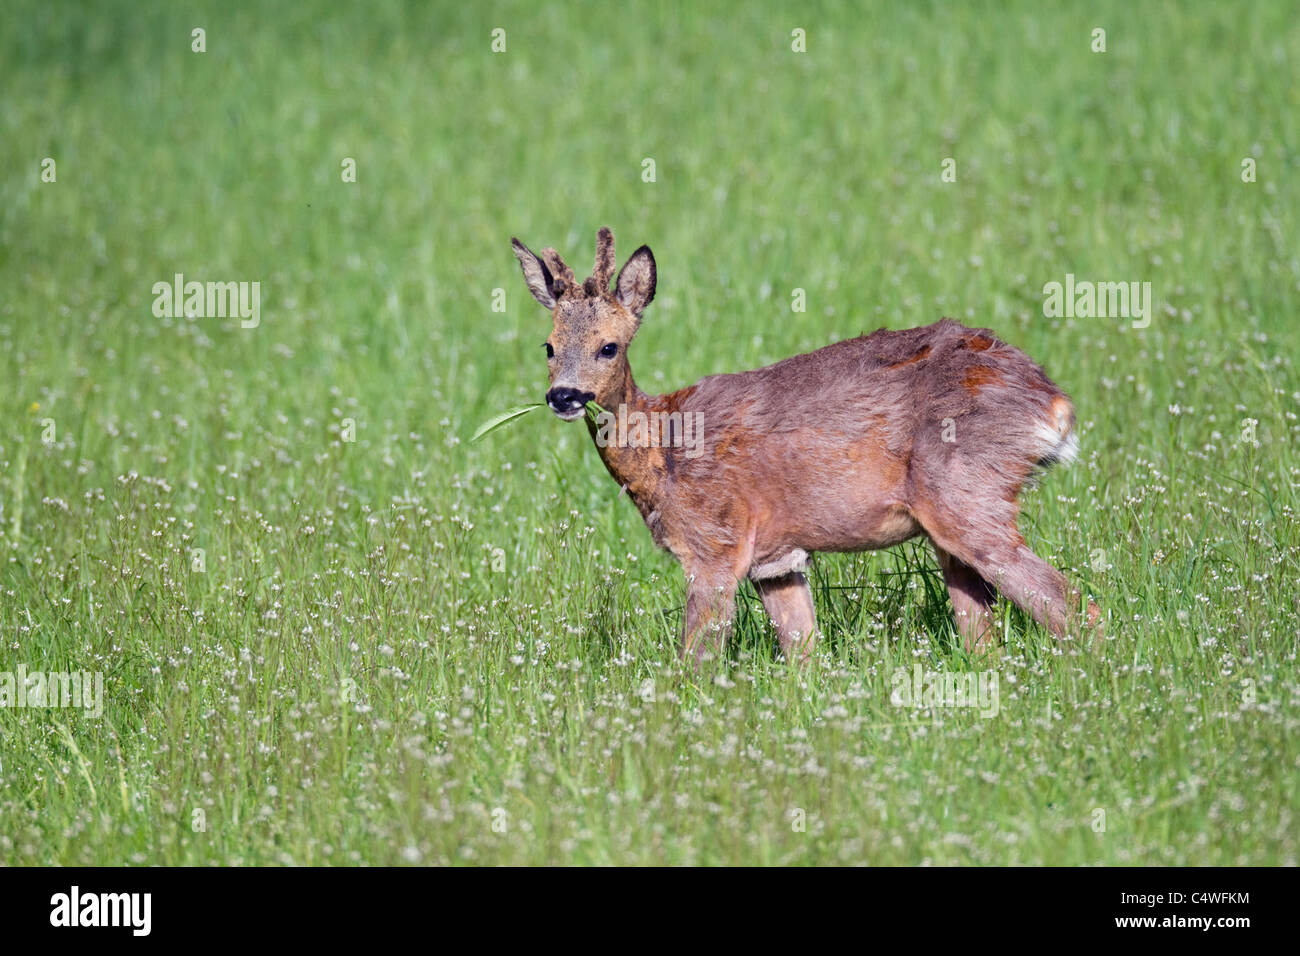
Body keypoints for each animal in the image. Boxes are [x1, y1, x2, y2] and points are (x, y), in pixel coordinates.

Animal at [506, 228, 1097, 671]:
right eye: (548, 347)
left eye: (609, 347)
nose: (563, 396)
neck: (664, 453)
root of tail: (1054, 402)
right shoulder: (777, 559)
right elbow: (803, 657)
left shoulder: (715, 544)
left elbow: (694, 665)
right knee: (985, 636)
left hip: (967, 494)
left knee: (1074, 607)